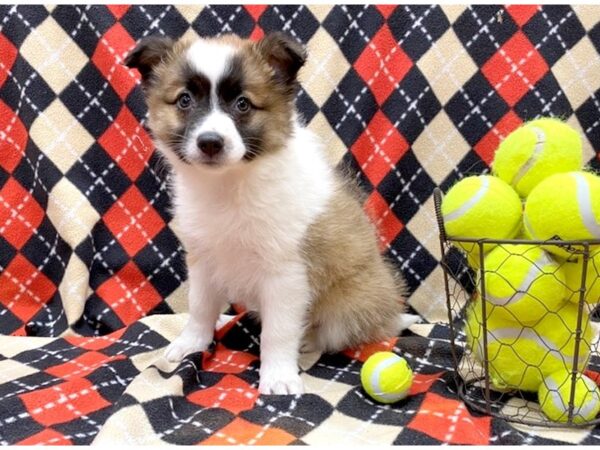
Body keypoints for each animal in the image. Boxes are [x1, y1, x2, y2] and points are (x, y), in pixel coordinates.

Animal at [125, 32, 418, 394]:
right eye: (184, 101)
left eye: (243, 104)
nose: (210, 142)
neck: (230, 184)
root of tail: (387, 312)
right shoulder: (204, 260)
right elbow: (199, 307)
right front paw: (192, 343)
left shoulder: (286, 274)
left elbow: (277, 332)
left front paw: (278, 375)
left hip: (350, 302)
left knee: (337, 332)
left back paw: (309, 342)